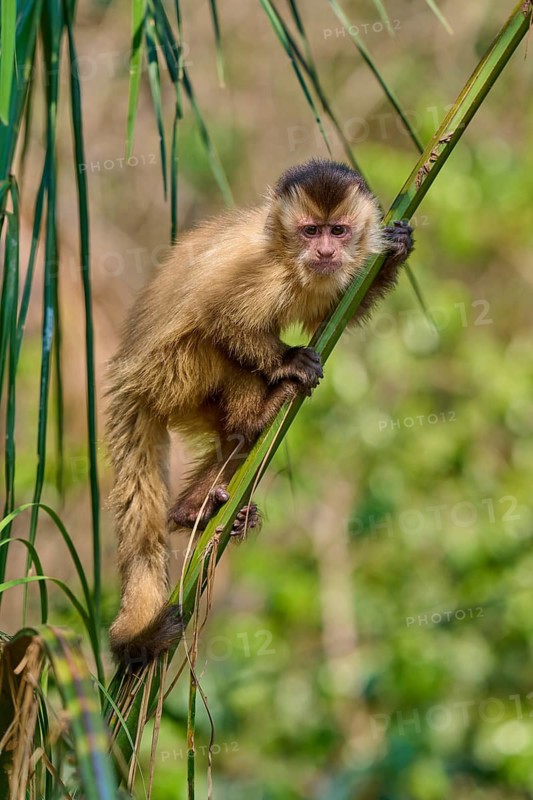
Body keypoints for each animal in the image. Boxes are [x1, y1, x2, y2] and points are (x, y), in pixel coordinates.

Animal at [105, 158, 414, 666]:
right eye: (310, 231)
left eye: (338, 230)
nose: (325, 250)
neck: (285, 252)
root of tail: (126, 375)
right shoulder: (261, 272)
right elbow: (222, 316)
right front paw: (289, 362)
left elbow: (331, 314)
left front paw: (396, 251)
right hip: (169, 374)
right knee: (213, 341)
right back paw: (261, 409)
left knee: (232, 441)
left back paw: (193, 509)